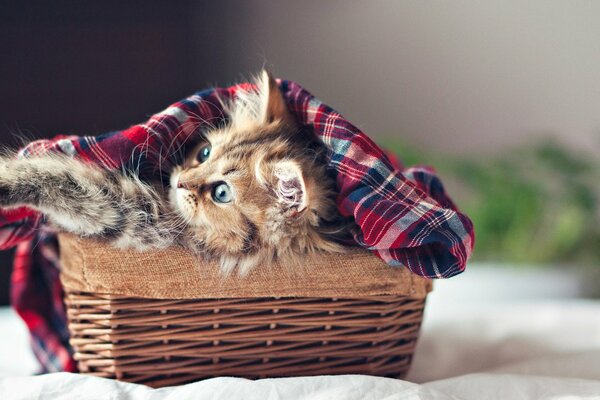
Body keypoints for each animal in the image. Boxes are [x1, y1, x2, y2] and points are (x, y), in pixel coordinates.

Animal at [0, 70, 346, 274]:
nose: (180, 182)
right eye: (204, 153)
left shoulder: (132, 213)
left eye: (222, 193)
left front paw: (5, 181)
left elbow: (54, 176)